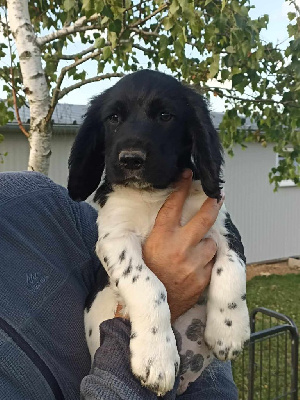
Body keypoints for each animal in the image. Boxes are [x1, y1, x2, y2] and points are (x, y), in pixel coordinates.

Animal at [68, 70, 251, 396]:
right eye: (113, 118)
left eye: (165, 116)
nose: (131, 159)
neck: (154, 195)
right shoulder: (115, 238)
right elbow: (148, 283)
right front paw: (156, 355)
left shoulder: (223, 227)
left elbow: (231, 270)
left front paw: (228, 330)